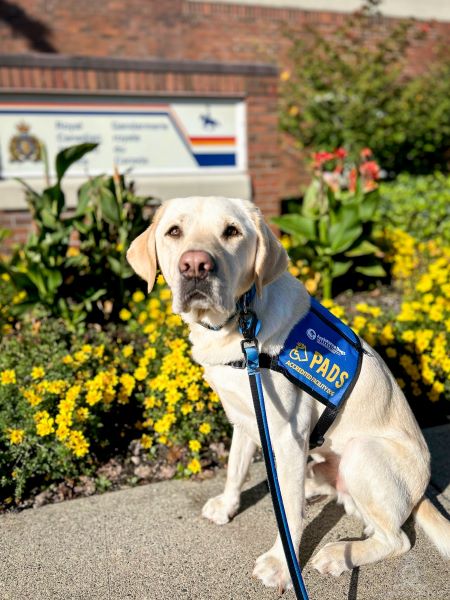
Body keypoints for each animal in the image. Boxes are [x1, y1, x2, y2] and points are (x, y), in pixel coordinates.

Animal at [126, 196, 450, 592]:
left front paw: (281, 563)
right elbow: (235, 468)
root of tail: (422, 491)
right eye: (174, 231)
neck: (238, 326)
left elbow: (291, 515)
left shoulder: (287, 434)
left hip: (362, 452)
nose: (196, 265)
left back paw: (337, 554)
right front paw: (227, 504)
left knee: (397, 539)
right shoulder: (244, 417)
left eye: (231, 231)